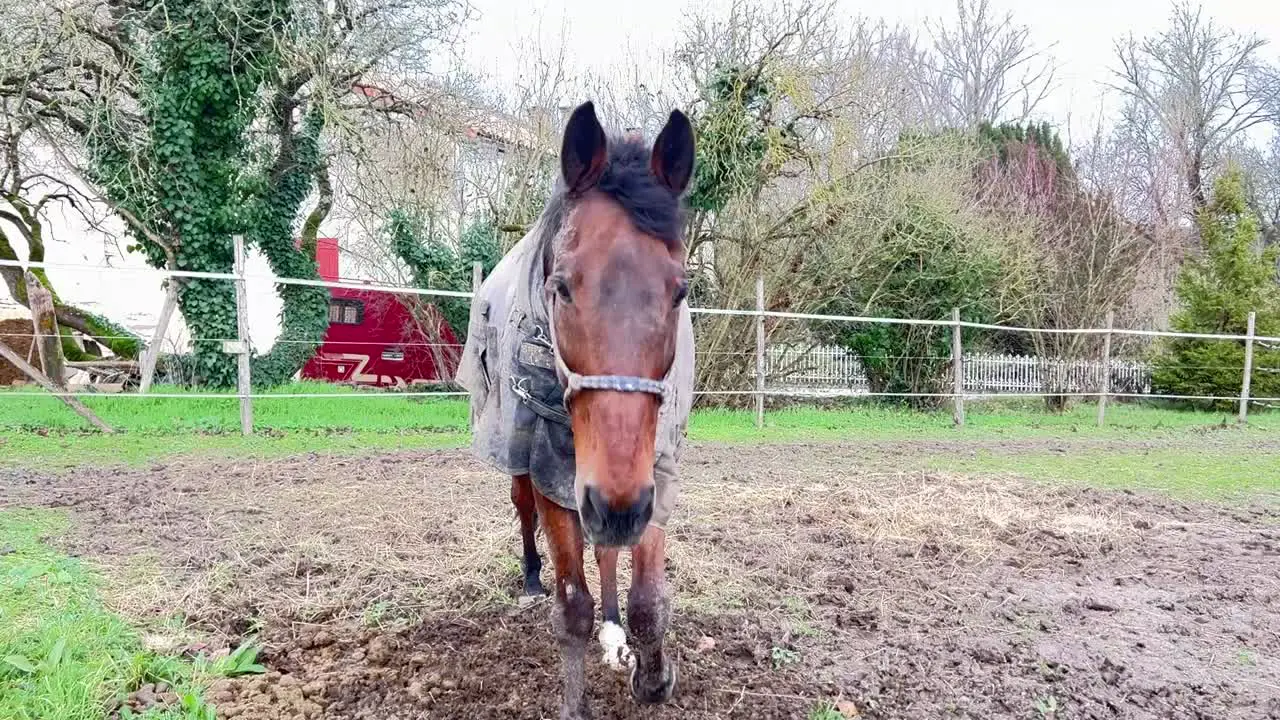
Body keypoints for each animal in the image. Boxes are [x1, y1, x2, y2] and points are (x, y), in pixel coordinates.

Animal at [458, 102, 701, 717]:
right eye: (562, 287)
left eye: (680, 292)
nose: (617, 507)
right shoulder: (554, 474)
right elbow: (571, 607)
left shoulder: (654, 474)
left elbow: (646, 599)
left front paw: (653, 677)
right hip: (532, 469)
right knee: (524, 512)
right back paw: (530, 579)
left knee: (609, 550)